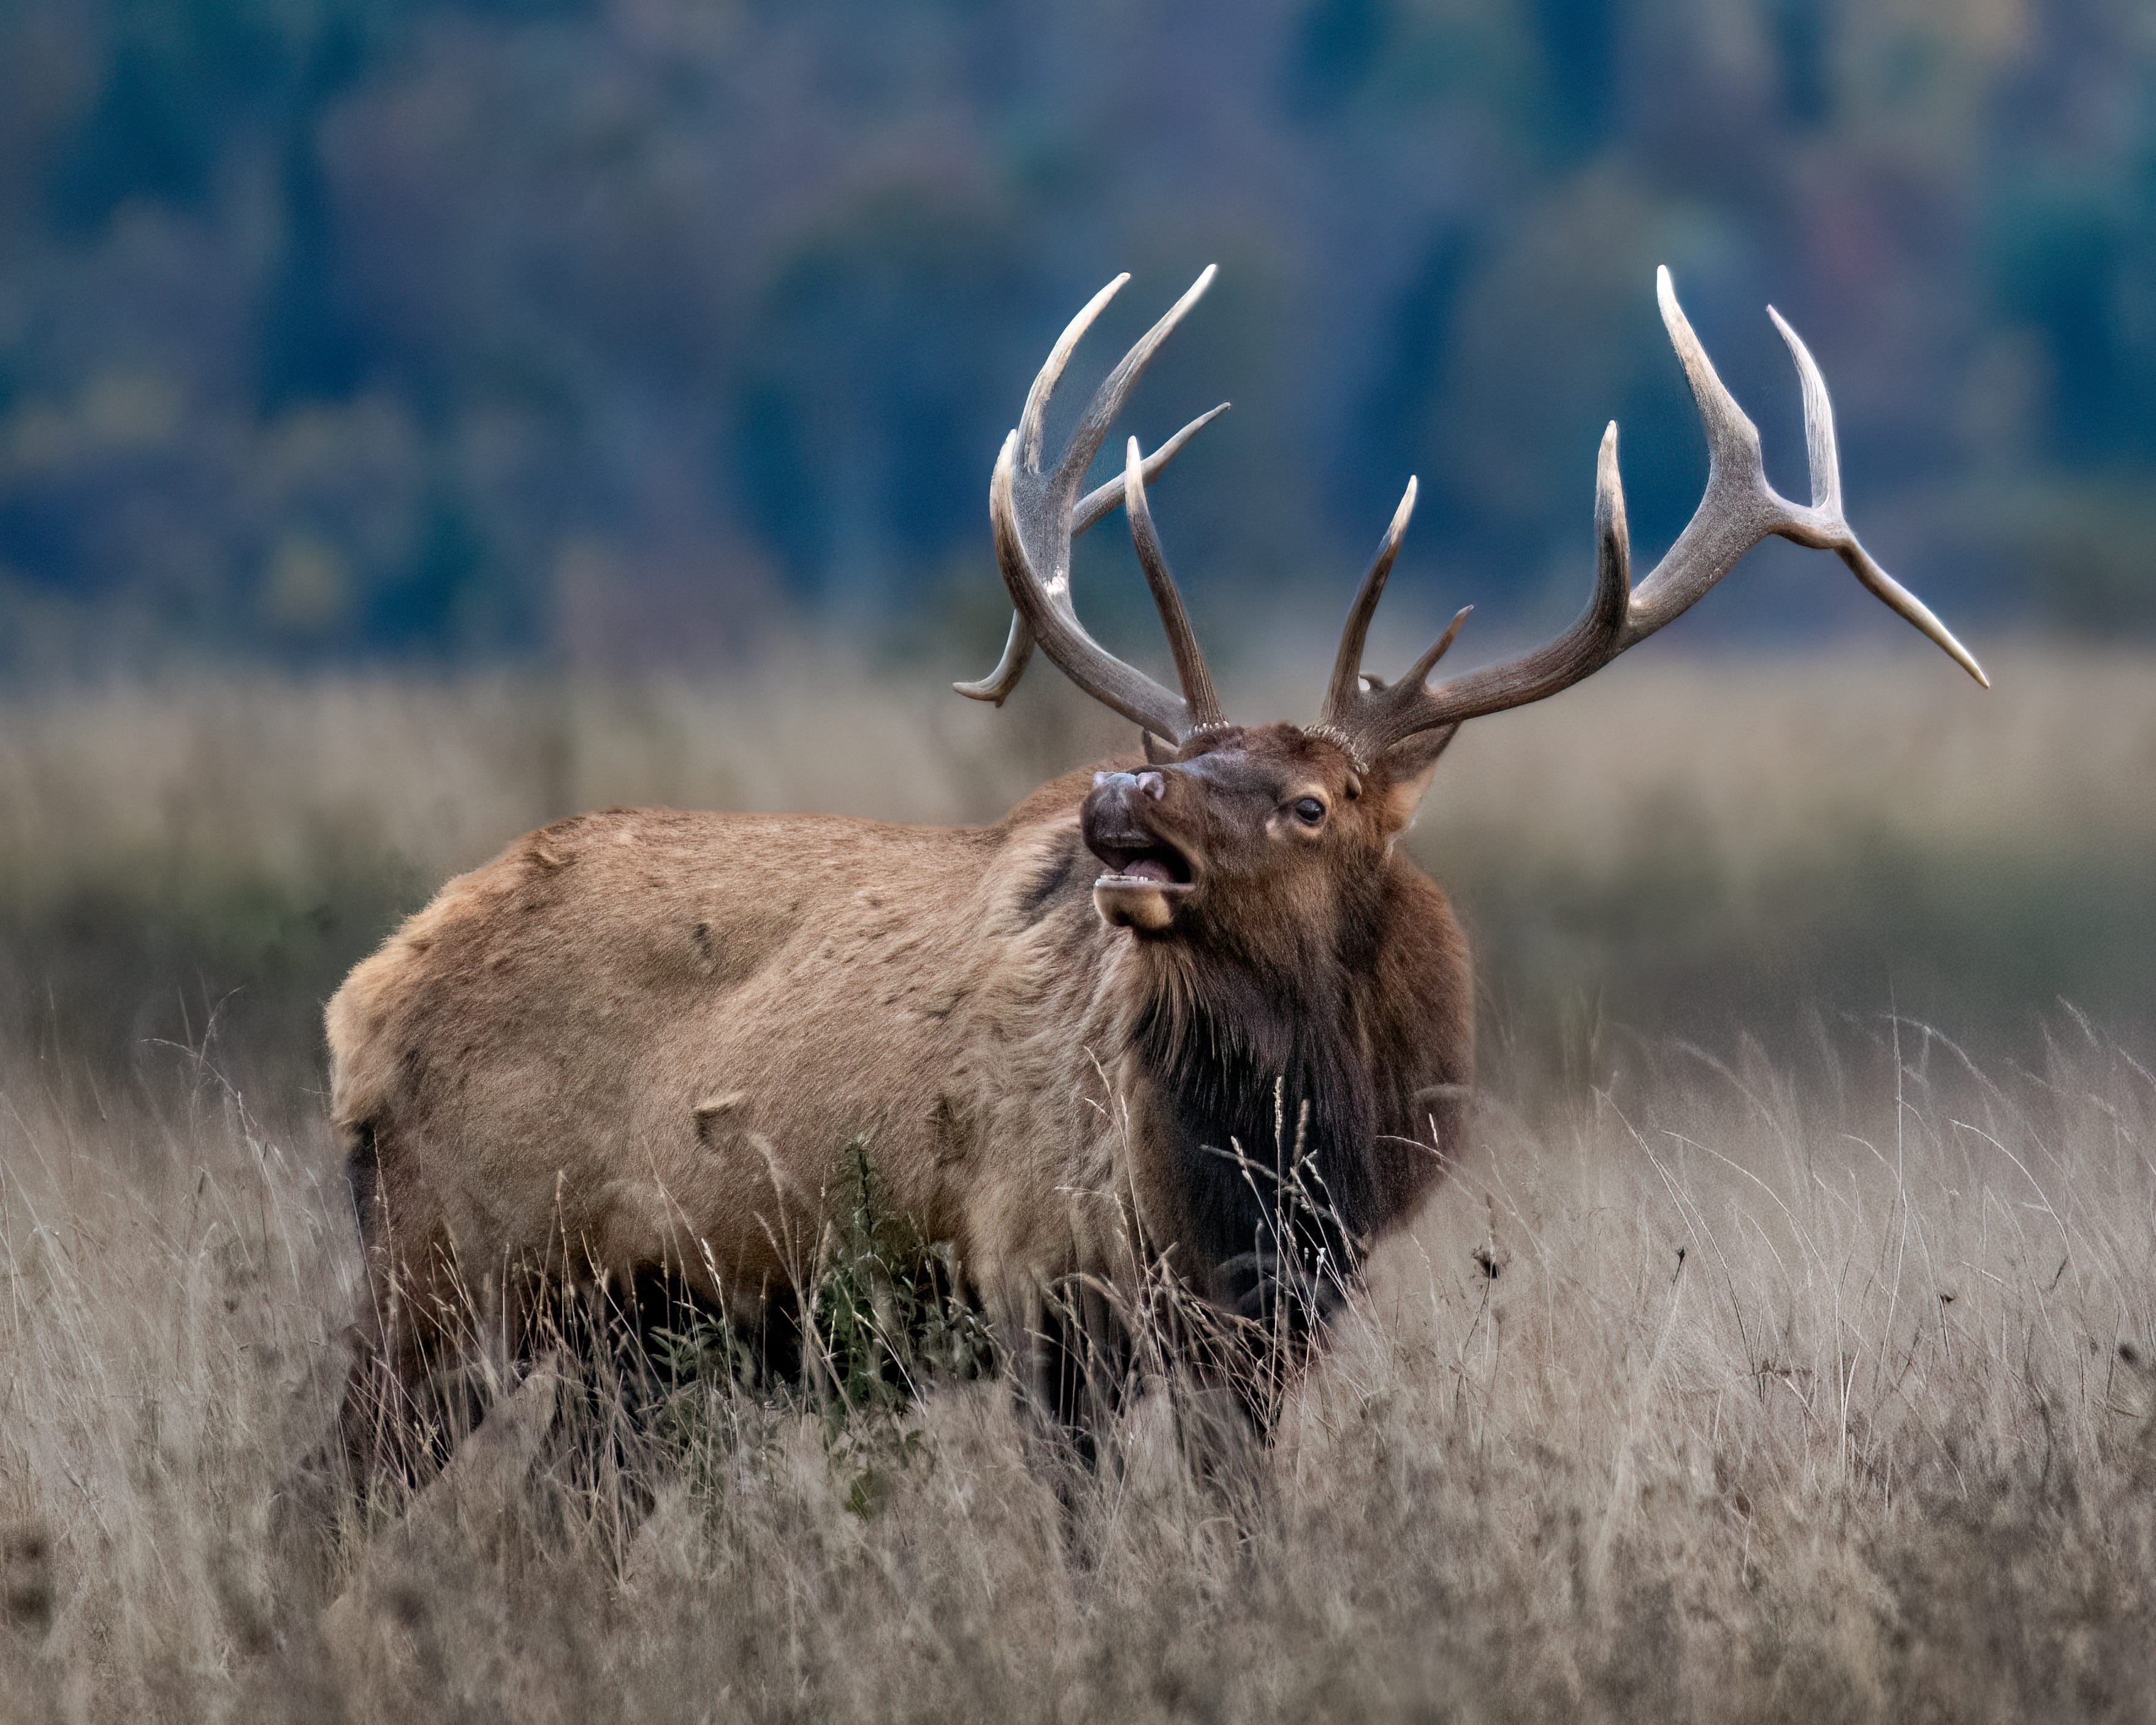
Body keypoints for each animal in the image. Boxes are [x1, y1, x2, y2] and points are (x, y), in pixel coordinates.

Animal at [325, 266, 1984, 1468]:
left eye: (1311, 800)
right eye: (1180, 758)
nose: (1124, 798)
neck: (1260, 1174)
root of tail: (366, 1002)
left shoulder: (1265, 1340)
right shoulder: (1035, 1288)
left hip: (636, 1347)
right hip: (445, 1271)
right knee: (334, 1493)